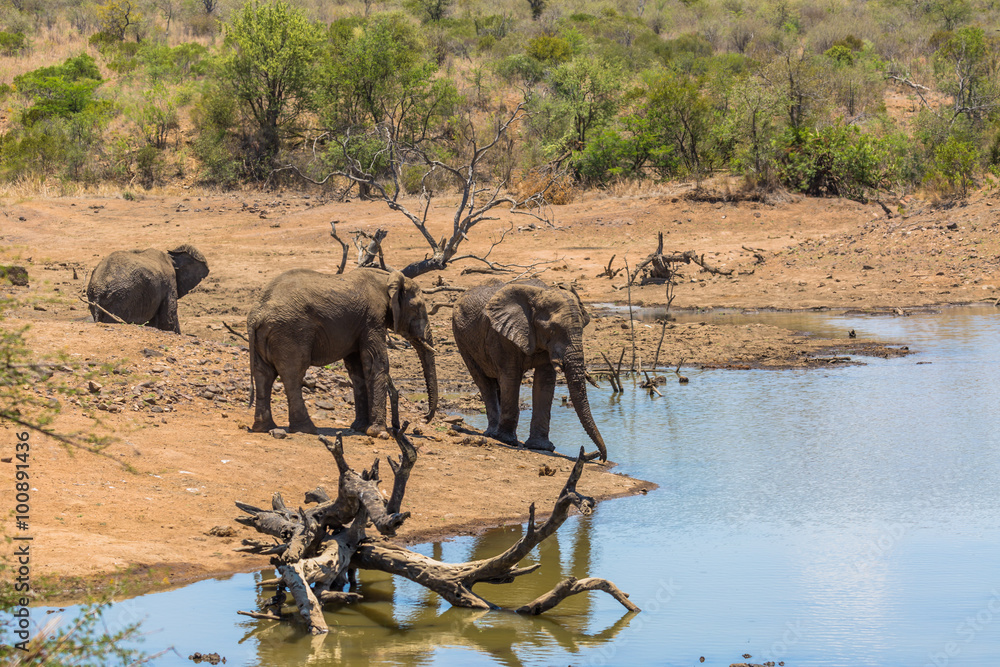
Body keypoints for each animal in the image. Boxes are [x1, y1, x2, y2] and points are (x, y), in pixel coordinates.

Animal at [247, 267, 438, 436]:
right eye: (418, 308)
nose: (425, 418)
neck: (387, 278)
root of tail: (257, 314)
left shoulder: (358, 325)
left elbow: (357, 369)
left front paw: (360, 428)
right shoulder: (372, 318)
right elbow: (376, 363)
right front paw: (379, 433)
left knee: (264, 375)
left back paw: (264, 428)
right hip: (290, 333)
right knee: (293, 374)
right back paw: (307, 429)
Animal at [451, 279, 608, 462]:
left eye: (583, 327)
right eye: (552, 329)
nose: (601, 457)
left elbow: (545, 381)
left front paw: (540, 446)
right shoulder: (501, 336)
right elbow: (511, 376)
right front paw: (506, 440)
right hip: (461, 339)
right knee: (484, 382)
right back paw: (492, 434)